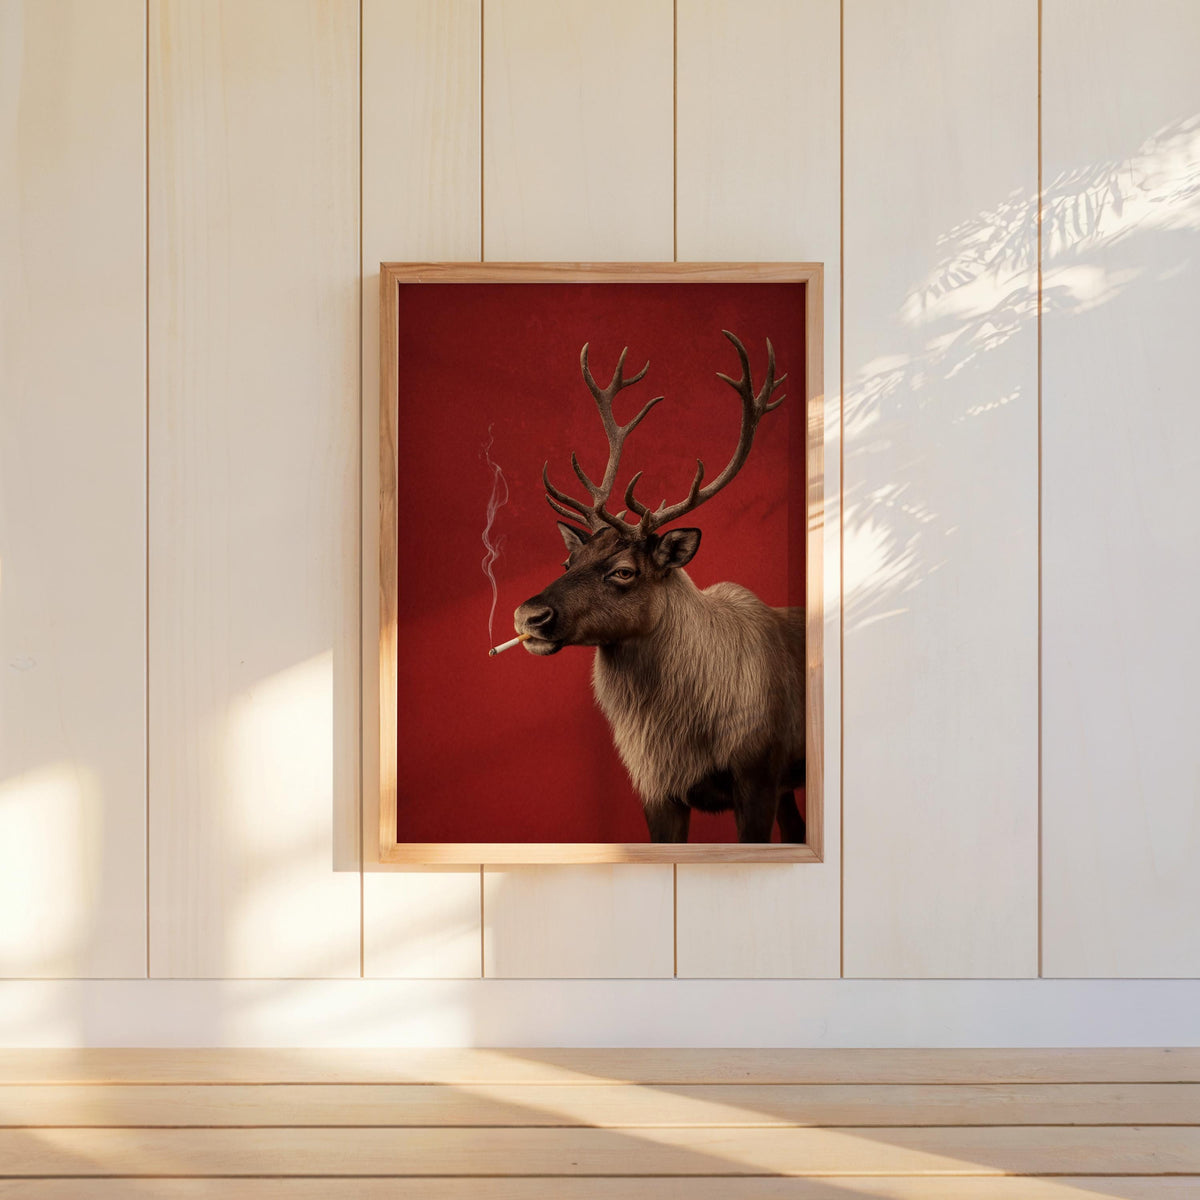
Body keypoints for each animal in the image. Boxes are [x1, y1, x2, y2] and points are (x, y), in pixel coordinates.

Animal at [513, 331, 806, 844]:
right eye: (569, 560)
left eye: (624, 571)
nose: (528, 615)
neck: (675, 735)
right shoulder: (656, 789)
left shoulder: (759, 777)